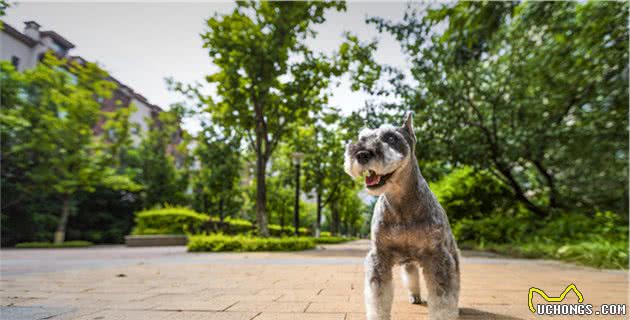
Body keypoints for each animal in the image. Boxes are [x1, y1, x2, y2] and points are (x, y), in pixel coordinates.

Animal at [344, 112, 462, 320]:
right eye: (362, 137)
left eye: (391, 137)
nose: (361, 154)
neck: (401, 204)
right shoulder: (379, 257)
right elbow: (378, 297)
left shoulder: (438, 257)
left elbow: (443, 298)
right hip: (409, 263)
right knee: (412, 276)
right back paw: (415, 296)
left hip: (452, 255)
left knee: (456, 283)